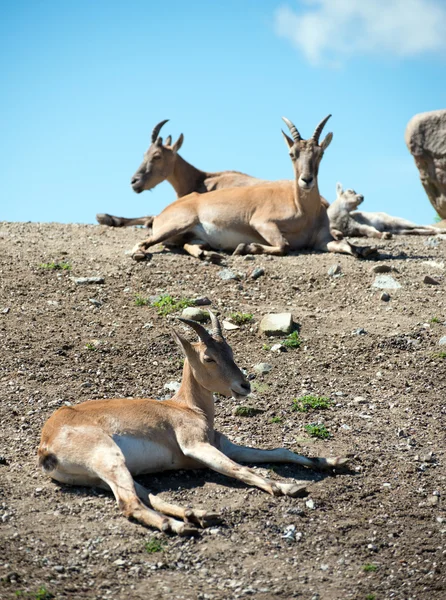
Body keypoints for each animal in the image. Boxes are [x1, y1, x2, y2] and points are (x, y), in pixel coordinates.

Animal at [37, 312, 348, 536]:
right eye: (209, 357)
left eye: (230, 351)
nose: (244, 385)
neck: (187, 408)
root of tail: (46, 445)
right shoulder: (195, 446)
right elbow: (240, 470)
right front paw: (286, 487)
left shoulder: (225, 446)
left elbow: (280, 451)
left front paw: (335, 460)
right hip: (109, 459)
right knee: (130, 504)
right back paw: (178, 526)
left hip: (104, 475)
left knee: (146, 495)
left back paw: (198, 515)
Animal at [131, 115, 374, 260]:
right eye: (292, 153)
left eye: (320, 153)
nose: (306, 180)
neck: (304, 211)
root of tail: (162, 213)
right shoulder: (262, 223)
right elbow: (284, 245)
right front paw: (245, 247)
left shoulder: (323, 241)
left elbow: (345, 245)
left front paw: (365, 249)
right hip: (179, 224)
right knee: (143, 242)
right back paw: (139, 254)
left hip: (191, 236)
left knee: (189, 245)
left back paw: (208, 255)